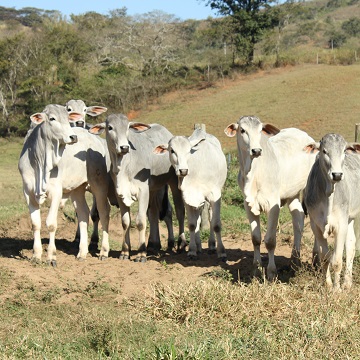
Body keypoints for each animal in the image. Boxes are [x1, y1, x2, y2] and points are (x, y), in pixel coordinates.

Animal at [89, 113, 186, 262]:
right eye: (110, 127)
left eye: (128, 127)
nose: (124, 147)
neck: (124, 166)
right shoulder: (120, 194)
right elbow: (125, 222)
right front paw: (125, 252)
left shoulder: (143, 191)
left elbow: (140, 221)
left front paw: (141, 254)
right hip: (154, 189)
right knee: (153, 214)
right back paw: (153, 245)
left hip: (174, 182)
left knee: (178, 212)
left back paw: (179, 244)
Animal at [155, 129, 228, 262]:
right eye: (172, 150)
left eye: (189, 150)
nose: (183, 171)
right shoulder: (187, 197)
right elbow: (193, 224)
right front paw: (192, 251)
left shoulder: (215, 196)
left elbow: (216, 224)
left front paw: (222, 252)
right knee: (198, 219)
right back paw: (199, 246)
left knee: (210, 218)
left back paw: (211, 245)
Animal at [224, 116, 316, 280]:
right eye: (242, 130)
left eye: (260, 130)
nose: (256, 150)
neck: (252, 173)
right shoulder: (248, 206)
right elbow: (256, 238)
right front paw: (256, 270)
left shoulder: (273, 205)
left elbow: (270, 241)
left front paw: (272, 272)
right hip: (292, 194)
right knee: (298, 218)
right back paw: (295, 260)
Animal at [304, 133, 360, 290]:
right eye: (324, 151)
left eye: (344, 151)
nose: (337, 175)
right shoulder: (315, 225)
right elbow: (325, 257)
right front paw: (328, 285)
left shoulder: (340, 225)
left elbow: (337, 260)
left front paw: (336, 289)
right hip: (348, 220)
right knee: (351, 243)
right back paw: (347, 282)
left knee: (350, 247)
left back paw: (345, 283)